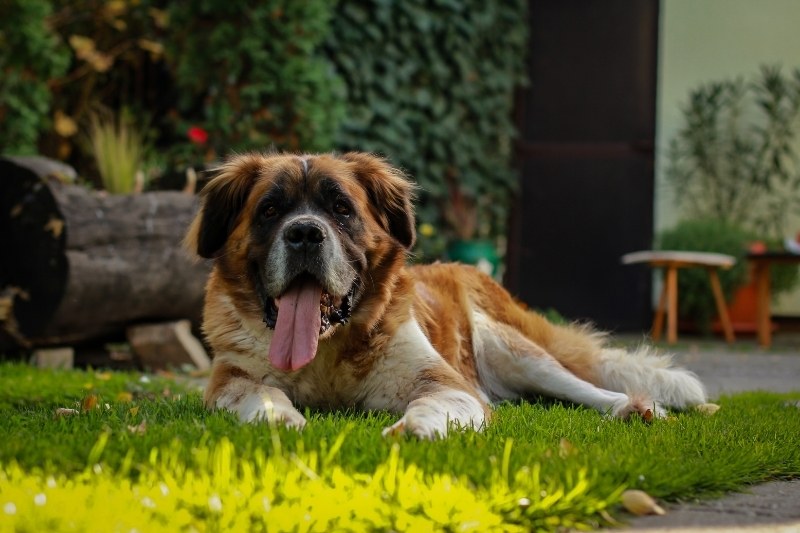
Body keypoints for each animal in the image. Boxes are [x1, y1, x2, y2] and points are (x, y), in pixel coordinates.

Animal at [186, 152, 708, 438]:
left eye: (341, 209)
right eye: (270, 210)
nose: (304, 234)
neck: (328, 349)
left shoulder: (442, 382)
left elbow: (436, 403)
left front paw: (415, 429)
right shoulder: (230, 379)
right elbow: (262, 394)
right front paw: (279, 420)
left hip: (513, 349)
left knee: (583, 386)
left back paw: (634, 407)